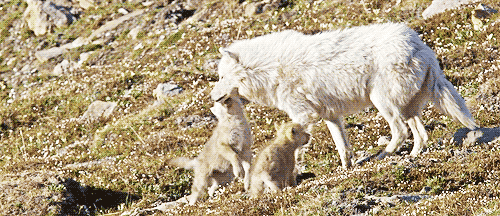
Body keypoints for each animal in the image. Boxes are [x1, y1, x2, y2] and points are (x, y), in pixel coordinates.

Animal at [210, 23, 476, 169]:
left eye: (221, 76)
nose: (212, 97)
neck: (269, 69)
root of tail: (420, 45)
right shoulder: (330, 116)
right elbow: (342, 146)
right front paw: (347, 168)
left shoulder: (304, 115)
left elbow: (295, 146)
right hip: (407, 107)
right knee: (420, 134)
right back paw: (412, 155)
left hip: (384, 103)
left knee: (401, 131)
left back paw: (383, 155)